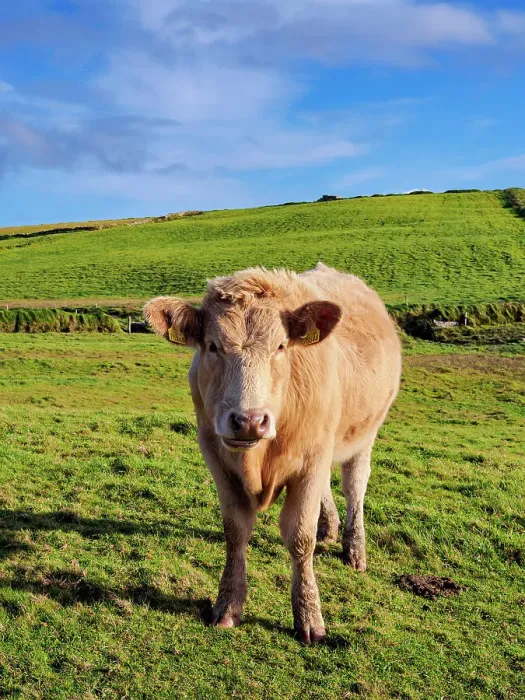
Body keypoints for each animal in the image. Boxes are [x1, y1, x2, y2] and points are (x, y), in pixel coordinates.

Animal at [144, 264, 401, 644]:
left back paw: (355, 549)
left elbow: (300, 537)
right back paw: (330, 528)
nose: (249, 421)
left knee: (355, 487)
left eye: (280, 346)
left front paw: (309, 616)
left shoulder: (312, 458)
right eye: (212, 346)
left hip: (364, 434)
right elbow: (235, 531)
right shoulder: (217, 458)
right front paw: (227, 605)